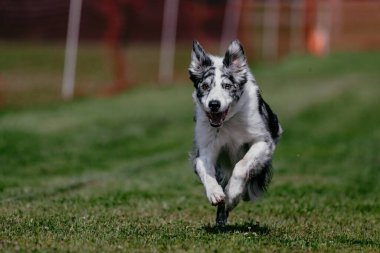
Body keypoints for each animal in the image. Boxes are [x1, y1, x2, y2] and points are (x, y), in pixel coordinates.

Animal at [189, 40, 280, 226]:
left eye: (227, 86)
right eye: (205, 86)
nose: (214, 104)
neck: (228, 121)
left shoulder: (263, 141)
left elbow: (242, 165)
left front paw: (232, 195)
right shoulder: (205, 148)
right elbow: (205, 170)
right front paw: (215, 193)